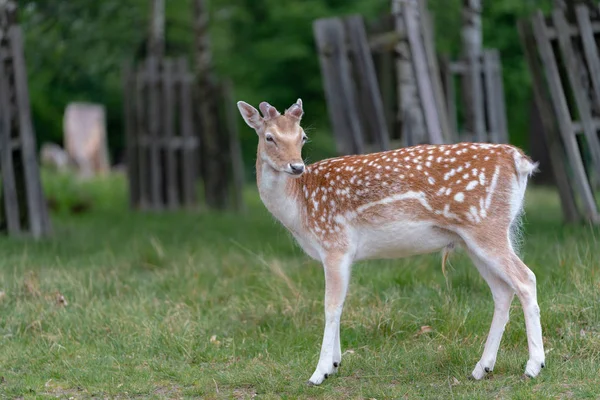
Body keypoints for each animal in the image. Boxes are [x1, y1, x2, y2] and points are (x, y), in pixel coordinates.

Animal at [238, 99, 544, 384]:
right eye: (269, 137)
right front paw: (335, 363)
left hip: (487, 227)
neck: (300, 208)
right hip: (474, 240)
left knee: (526, 279)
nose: (296, 166)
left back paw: (533, 366)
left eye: (302, 136)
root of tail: (519, 160)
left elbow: (330, 306)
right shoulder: (343, 253)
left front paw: (319, 372)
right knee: (502, 290)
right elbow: (341, 304)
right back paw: (481, 368)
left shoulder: (335, 243)